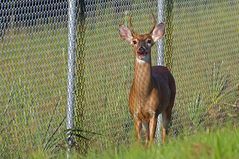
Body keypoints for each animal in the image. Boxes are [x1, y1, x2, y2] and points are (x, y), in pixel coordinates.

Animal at [119, 15, 176, 145]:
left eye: (149, 41)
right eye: (134, 41)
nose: (141, 49)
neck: (143, 95)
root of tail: (164, 67)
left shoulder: (153, 112)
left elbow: (151, 139)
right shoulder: (136, 114)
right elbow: (140, 140)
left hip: (169, 104)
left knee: (165, 131)